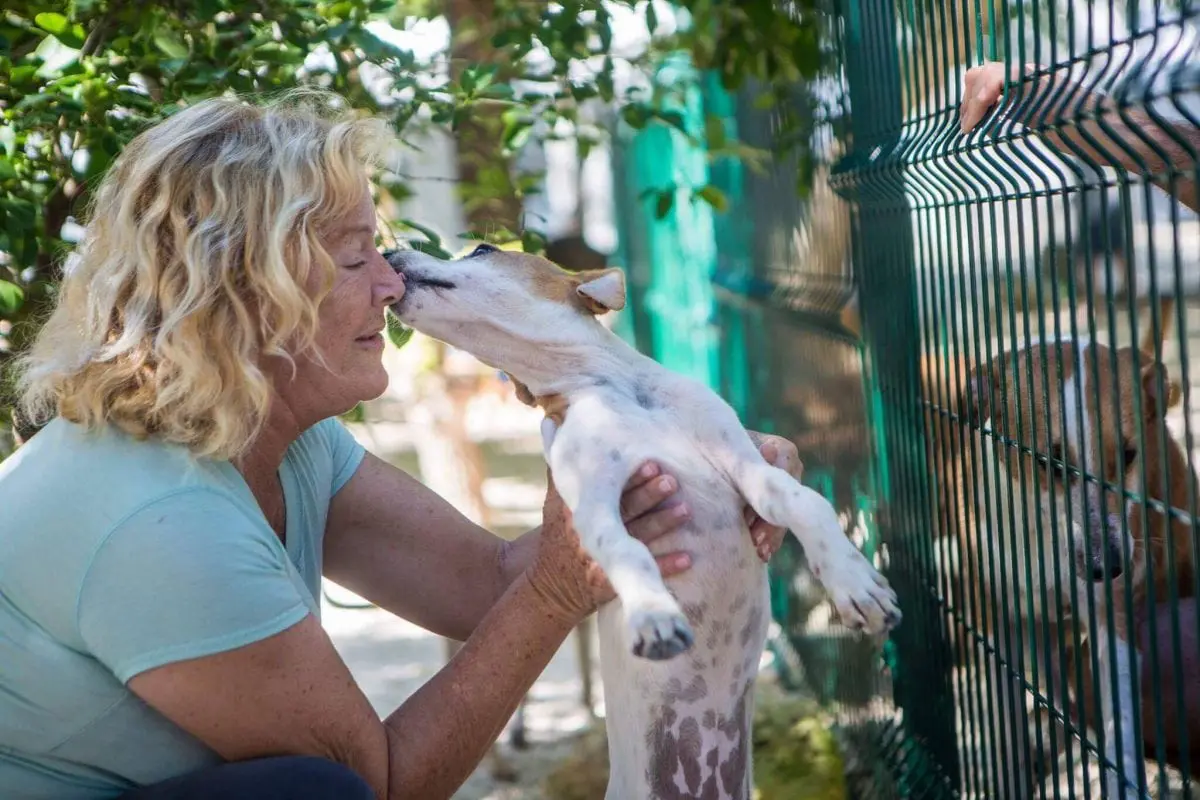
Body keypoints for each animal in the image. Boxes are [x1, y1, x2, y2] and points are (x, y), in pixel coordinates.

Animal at [386, 247, 902, 796]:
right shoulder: (593, 505)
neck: (613, 388)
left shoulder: (747, 464)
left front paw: (857, 586)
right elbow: (628, 551)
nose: (389, 251)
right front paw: (653, 614)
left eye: (483, 251)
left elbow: (805, 501)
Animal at [945, 340, 1190, 800]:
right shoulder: (996, 622)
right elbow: (1006, 722)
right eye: (1049, 463)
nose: (1107, 568)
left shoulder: (1112, 621)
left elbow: (1120, 725)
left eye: (1128, 456)